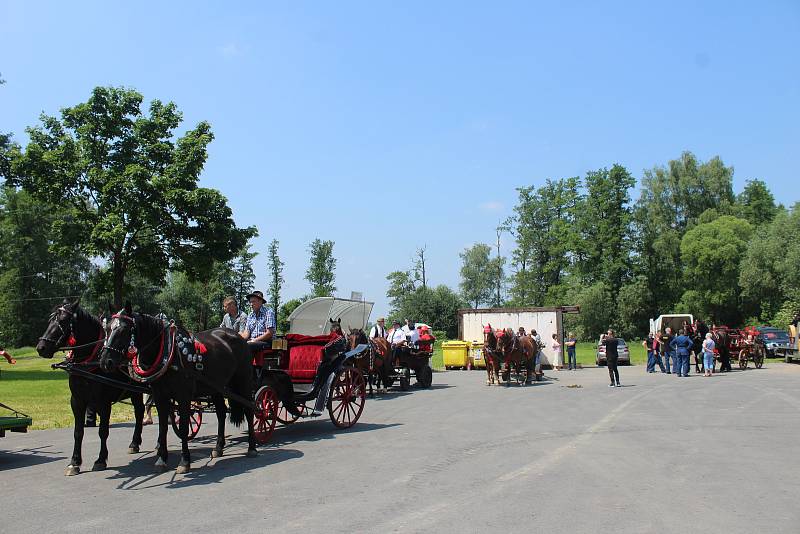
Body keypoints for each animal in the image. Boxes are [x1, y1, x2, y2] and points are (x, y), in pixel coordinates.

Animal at [35, 300, 145, 480]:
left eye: (63, 321)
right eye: (50, 319)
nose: (41, 347)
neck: (89, 361)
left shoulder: (103, 402)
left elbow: (103, 431)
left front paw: (101, 459)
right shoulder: (77, 400)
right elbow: (78, 432)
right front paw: (74, 462)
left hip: (138, 391)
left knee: (140, 412)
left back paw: (137, 442)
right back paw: (135, 443)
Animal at [99, 304, 256, 476]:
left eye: (124, 330)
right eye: (106, 328)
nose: (105, 361)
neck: (169, 354)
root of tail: (238, 337)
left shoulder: (183, 396)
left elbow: (183, 426)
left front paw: (185, 461)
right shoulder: (160, 396)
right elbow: (163, 426)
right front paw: (161, 459)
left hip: (244, 381)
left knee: (250, 410)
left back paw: (252, 447)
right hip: (217, 387)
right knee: (221, 413)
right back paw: (218, 447)